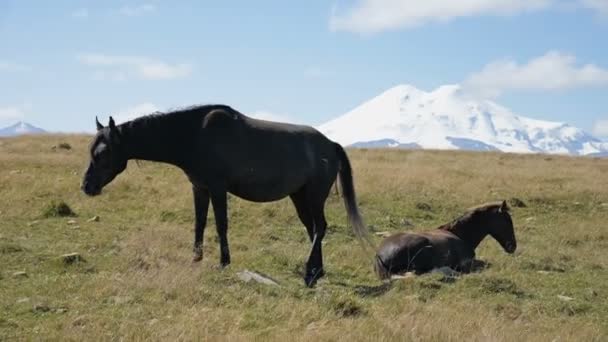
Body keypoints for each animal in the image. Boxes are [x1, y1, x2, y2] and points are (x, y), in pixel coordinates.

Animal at [82, 104, 368, 286]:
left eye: (103, 153)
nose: (86, 187)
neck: (194, 135)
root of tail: (331, 145)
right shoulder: (199, 188)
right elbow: (199, 222)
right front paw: (196, 257)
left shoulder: (218, 189)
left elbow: (221, 225)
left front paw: (223, 262)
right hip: (299, 196)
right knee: (312, 229)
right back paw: (317, 271)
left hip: (314, 196)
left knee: (320, 227)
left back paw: (310, 274)